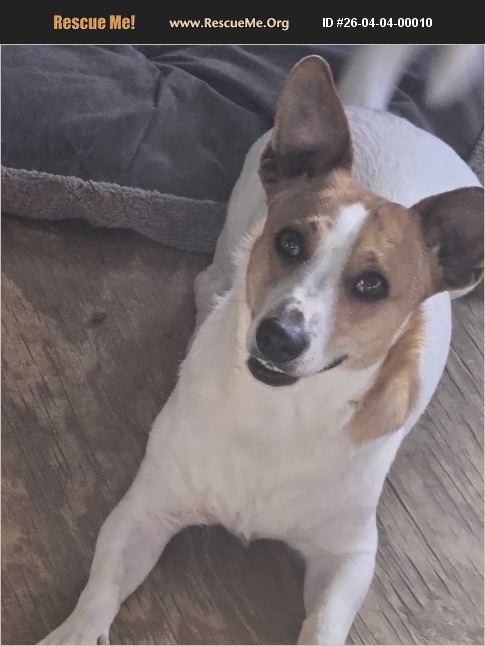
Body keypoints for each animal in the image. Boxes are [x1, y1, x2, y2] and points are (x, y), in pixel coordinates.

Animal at [39, 52, 483, 645]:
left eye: (372, 285)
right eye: (289, 242)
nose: (280, 335)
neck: (278, 415)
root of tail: (382, 113)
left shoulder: (349, 556)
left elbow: (323, 625)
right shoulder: (146, 509)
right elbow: (99, 594)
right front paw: (73, 631)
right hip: (234, 229)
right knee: (209, 281)